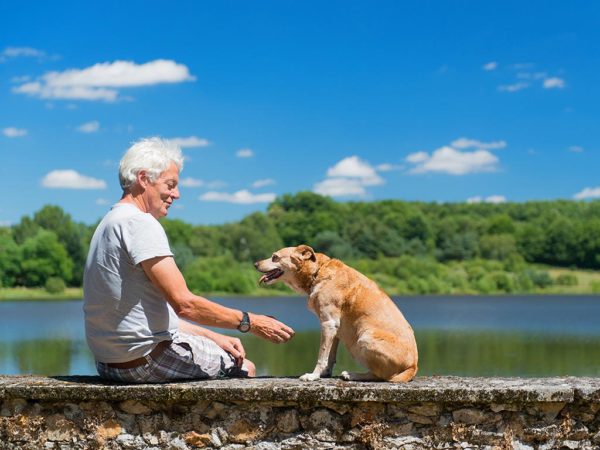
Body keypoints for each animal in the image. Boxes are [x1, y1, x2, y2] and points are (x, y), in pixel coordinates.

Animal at [255, 244, 420, 382]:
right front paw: (324, 373)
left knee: (380, 375)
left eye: (275, 257)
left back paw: (352, 375)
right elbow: (330, 356)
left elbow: (321, 356)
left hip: (363, 338)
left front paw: (313, 376)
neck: (317, 272)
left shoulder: (328, 324)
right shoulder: (335, 329)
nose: (255, 264)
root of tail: (413, 366)